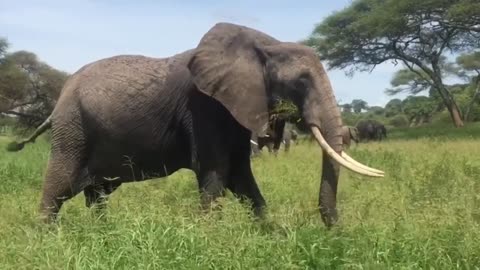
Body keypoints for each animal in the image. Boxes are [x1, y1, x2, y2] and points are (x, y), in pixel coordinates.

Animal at [6, 22, 382, 227]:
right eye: (301, 82)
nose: (336, 231)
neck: (265, 45)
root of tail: (58, 101)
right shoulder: (204, 107)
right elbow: (216, 173)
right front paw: (210, 239)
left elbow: (241, 177)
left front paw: (270, 233)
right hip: (73, 129)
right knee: (58, 187)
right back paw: (48, 239)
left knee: (95, 194)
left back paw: (103, 233)